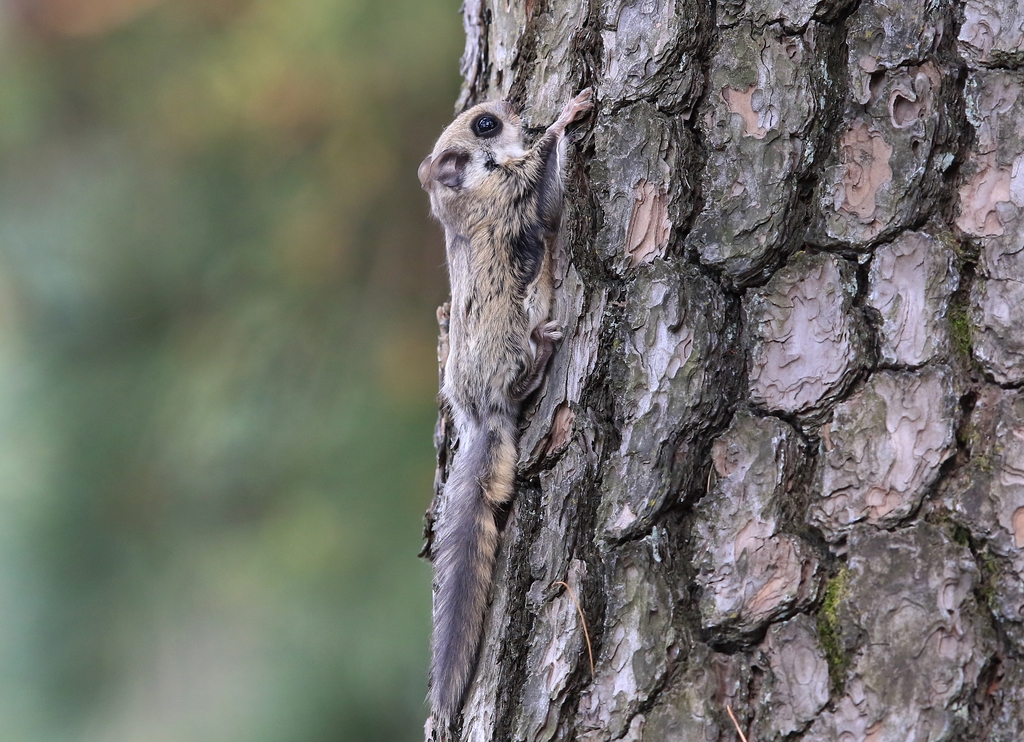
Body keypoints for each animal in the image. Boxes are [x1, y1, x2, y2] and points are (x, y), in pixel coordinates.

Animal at [415, 89, 593, 724]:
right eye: (486, 123)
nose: (515, 103)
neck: (468, 193)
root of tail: (477, 415)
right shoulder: (515, 196)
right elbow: (545, 190)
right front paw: (568, 113)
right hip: (508, 344)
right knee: (519, 378)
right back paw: (543, 349)